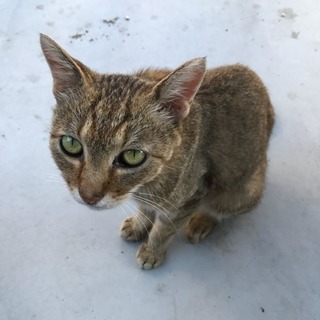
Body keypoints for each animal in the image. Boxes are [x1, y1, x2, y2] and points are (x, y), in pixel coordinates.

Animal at [40, 33, 276, 268]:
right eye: (71, 144)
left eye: (133, 156)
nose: (89, 196)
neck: (148, 181)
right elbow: (146, 210)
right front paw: (139, 225)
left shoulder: (189, 198)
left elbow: (164, 229)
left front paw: (152, 251)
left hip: (241, 192)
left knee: (219, 209)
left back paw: (201, 221)